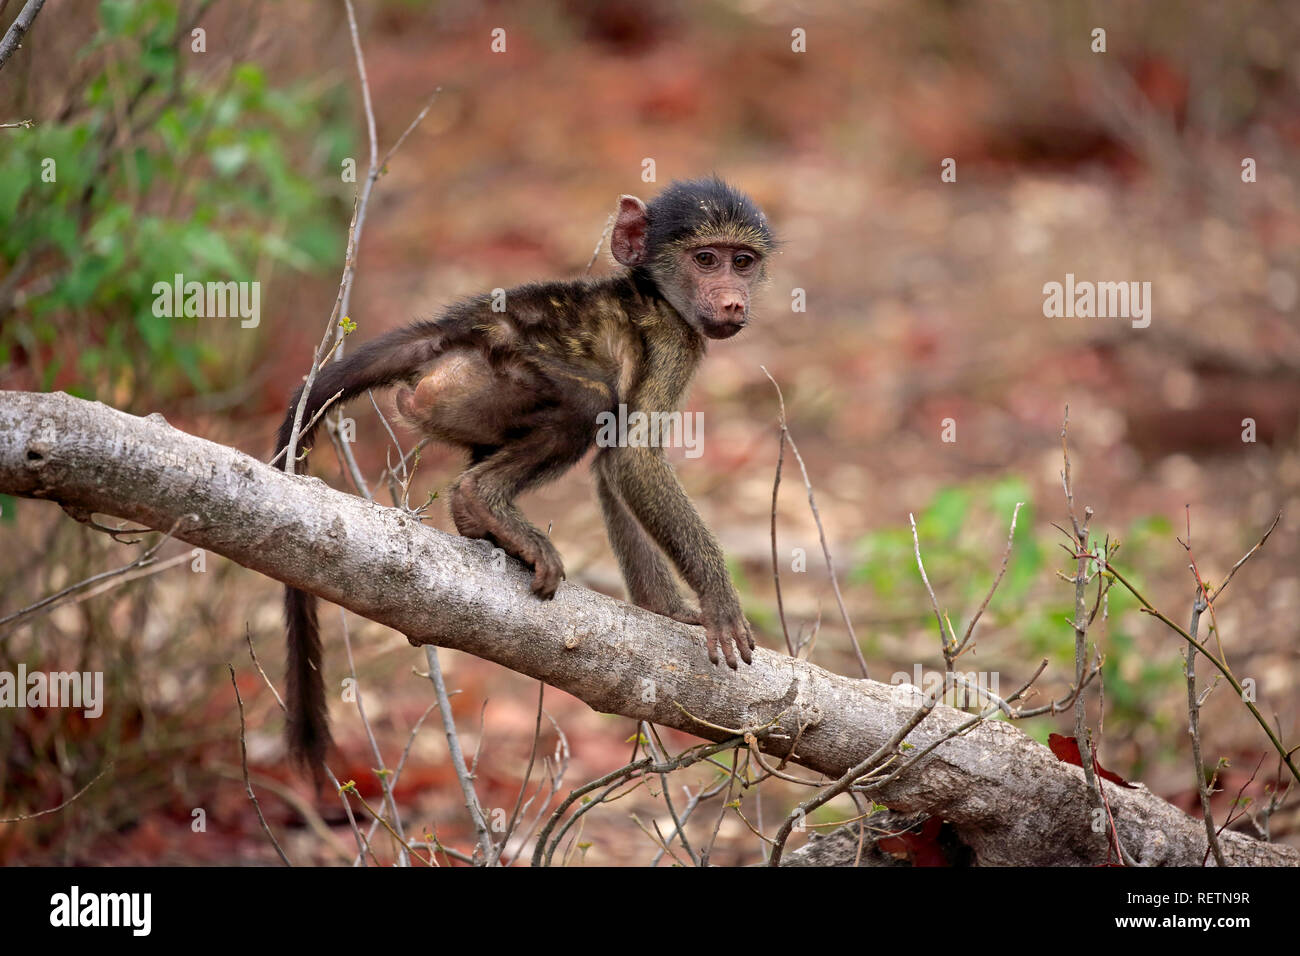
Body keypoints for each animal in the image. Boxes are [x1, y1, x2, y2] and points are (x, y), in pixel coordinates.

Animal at [275, 177, 775, 775]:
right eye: (706, 259)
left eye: (742, 262)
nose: (733, 300)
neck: (654, 293)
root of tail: (453, 332)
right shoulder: (677, 341)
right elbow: (631, 455)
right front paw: (717, 601)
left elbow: (613, 461)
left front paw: (667, 610)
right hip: (489, 375)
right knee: (590, 401)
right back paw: (483, 501)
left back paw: (477, 521)